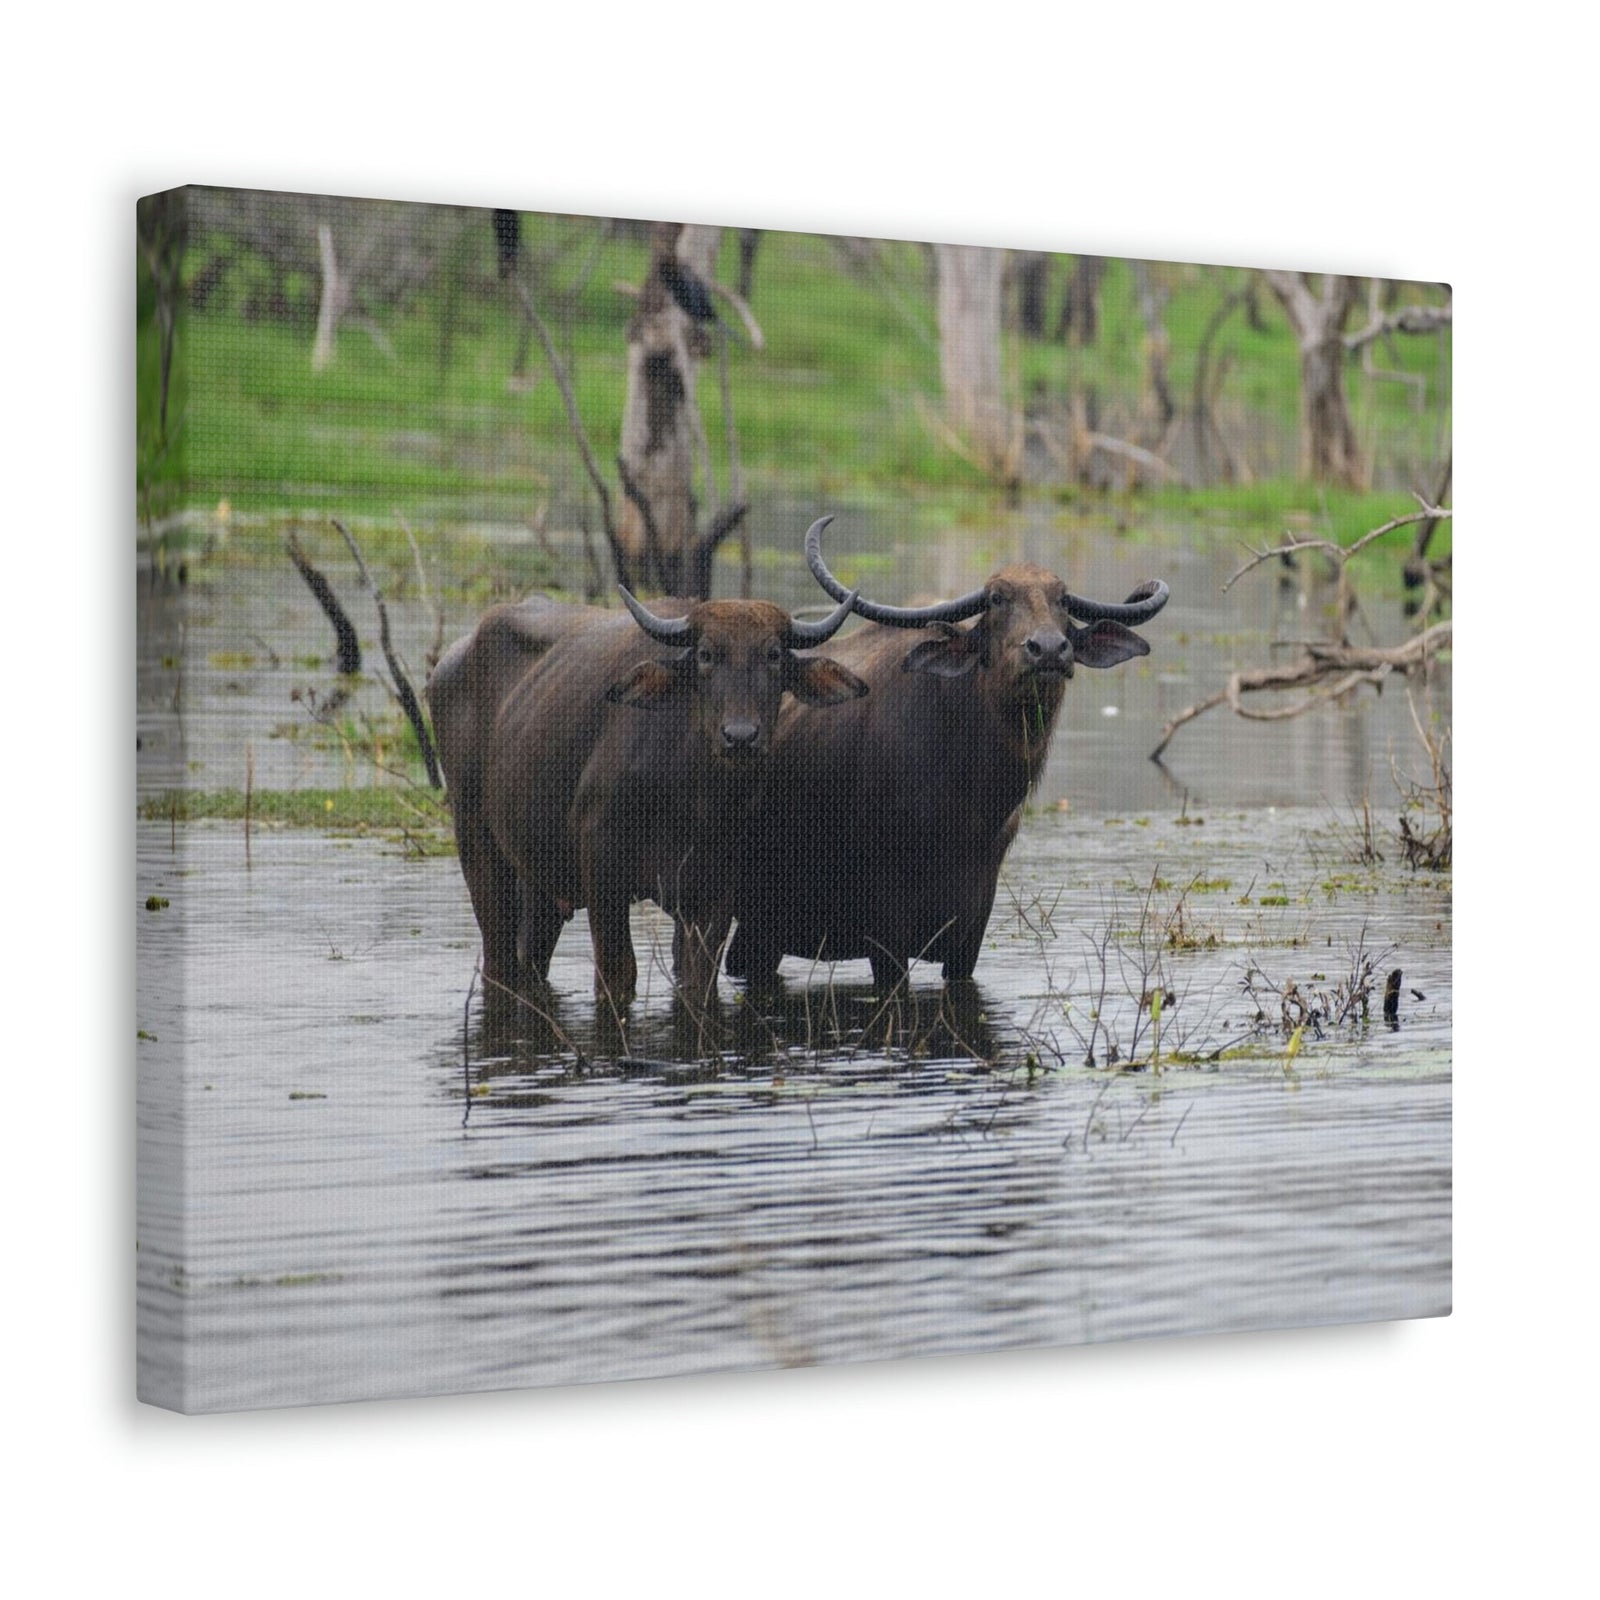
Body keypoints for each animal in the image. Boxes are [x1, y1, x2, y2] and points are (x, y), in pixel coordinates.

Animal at [428, 581, 867, 1015]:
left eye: (773, 655)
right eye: (706, 654)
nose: (740, 736)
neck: (694, 797)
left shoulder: (716, 889)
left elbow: (699, 981)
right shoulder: (602, 869)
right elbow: (618, 975)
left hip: (540, 875)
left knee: (530, 955)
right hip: (476, 842)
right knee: (498, 958)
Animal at [726, 518, 1169, 990]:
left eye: (1063, 600)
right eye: (996, 599)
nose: (1048, 649)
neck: (967, 806)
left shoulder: (970, 933)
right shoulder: (885, 932)